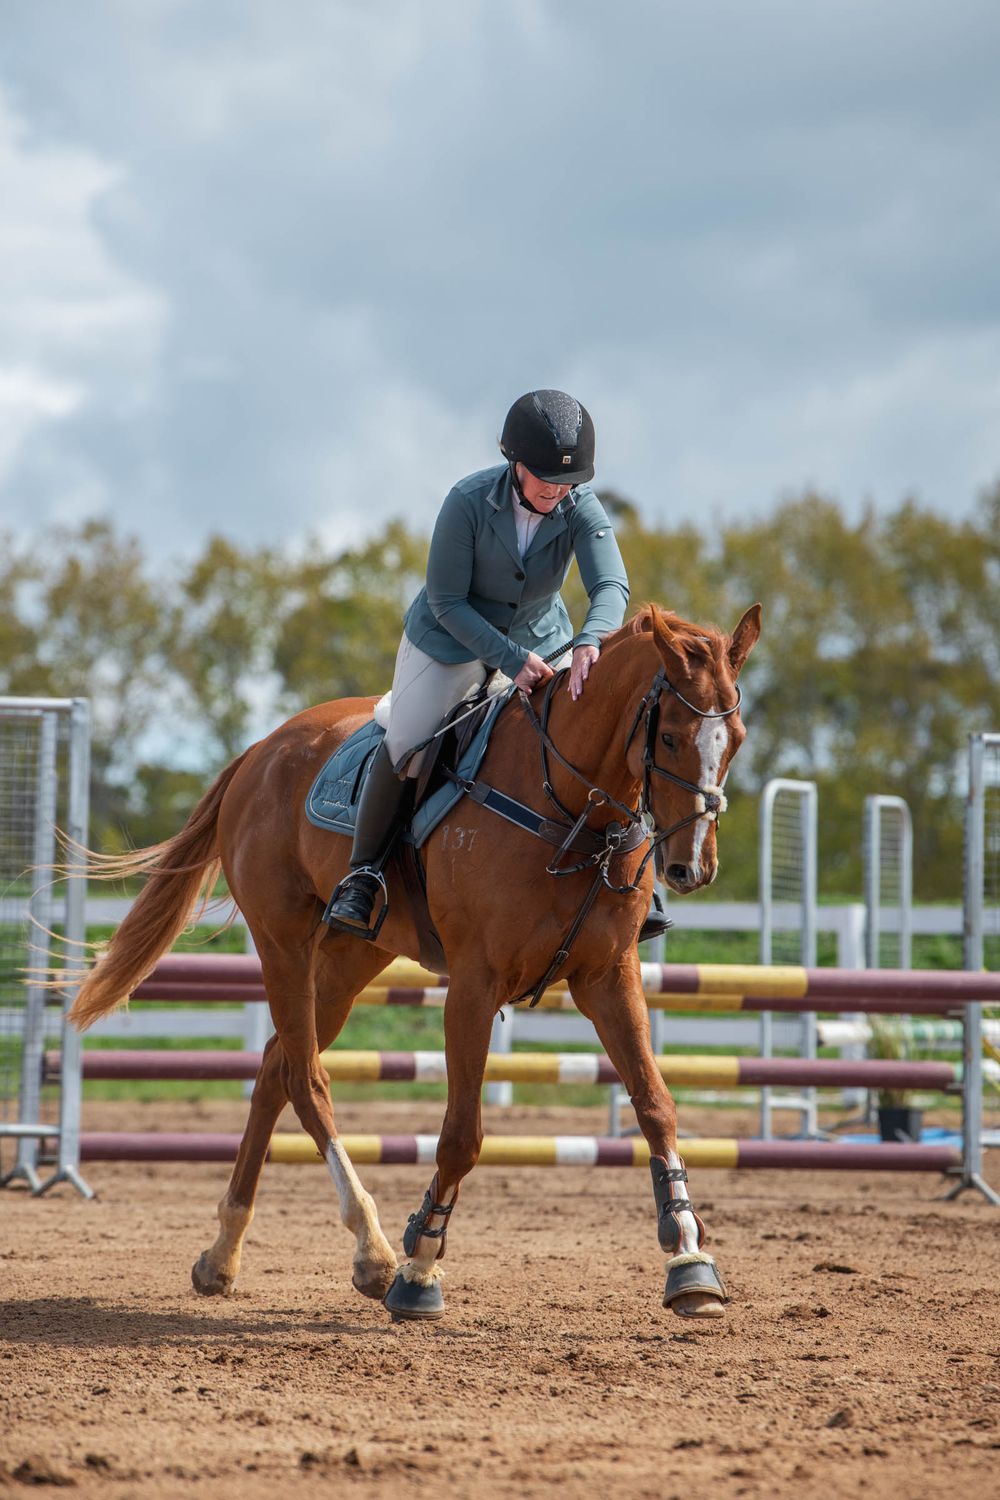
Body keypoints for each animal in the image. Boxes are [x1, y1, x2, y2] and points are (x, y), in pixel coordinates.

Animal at [69, 602, 761, 1322]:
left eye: (736, 738)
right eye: (673, 738)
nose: (692, 868)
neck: (571, 808)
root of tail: (261, 751)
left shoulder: (609, 978)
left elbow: (656, 1105)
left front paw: (690, 1259)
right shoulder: (475, 986)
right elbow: (461, 1134)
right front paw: (419, 1265)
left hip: (352, 956)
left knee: (277, 1068)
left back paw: (222, 1256)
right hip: (283, 943)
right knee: (306, 1081)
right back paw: (371, 1251)